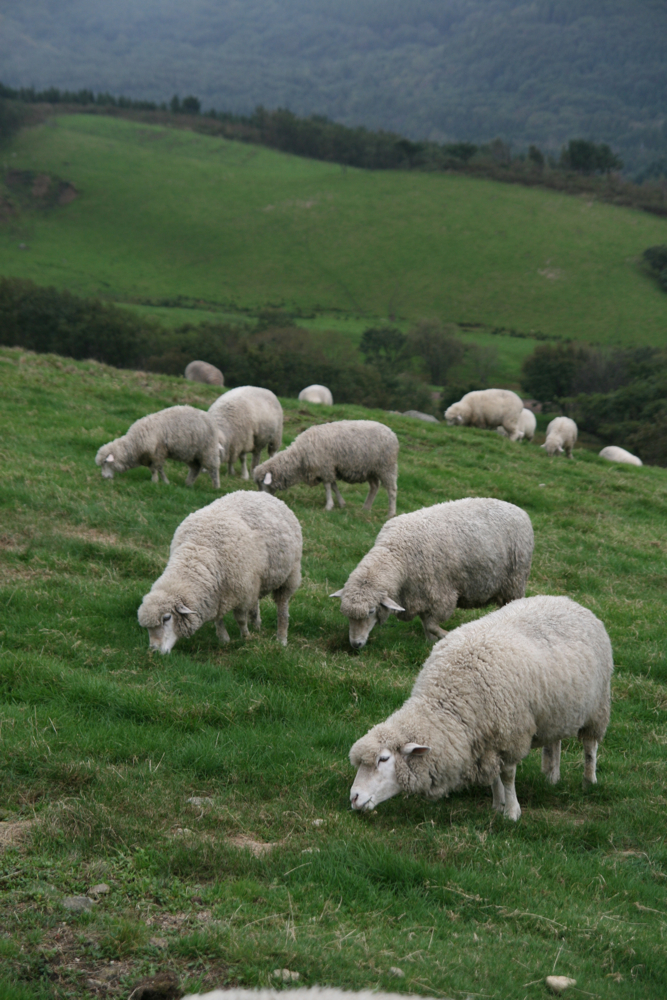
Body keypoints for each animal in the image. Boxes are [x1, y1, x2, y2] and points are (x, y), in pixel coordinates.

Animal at [95, 404, 223, 486]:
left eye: (105, 462)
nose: (104, 477)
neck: (134, 443)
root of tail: (209, 417)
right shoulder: (152, 456)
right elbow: (155, 469)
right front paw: (163, 481)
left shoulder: (158, 453)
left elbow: (156, 469)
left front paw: (158, 482)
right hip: (191, 453)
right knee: (196, 468)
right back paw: (188, 484)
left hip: (208, 449)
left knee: (214, 468)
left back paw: (216, 487)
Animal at [138, 490, 302, 648]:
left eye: (167, 618)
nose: (154, 649)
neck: (199, 550)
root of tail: (262, 493)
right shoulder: (218, 594)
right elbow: (218, 618)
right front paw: (224, 639)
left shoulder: (241, 592)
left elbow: (240, 619)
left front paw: (245, 636)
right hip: (256, 580)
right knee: (255, 603)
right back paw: (257, 626)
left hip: (289, 575)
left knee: (282, 608)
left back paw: (281, 638)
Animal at [253, 420, 400, 516]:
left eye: (262, 483)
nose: (261, 500)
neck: (299, 456)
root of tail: (392, 433)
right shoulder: (329, 469)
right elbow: (334, 486)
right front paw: (341, 503)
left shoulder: (325, 467)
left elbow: (328, 487)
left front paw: (329, 506)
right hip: (370, 469)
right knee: (374, 487)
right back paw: (366, 508)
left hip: (386, 467)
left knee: (392, 490)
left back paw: (391, 513)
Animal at [332, 498, 536, 648]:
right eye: (347, 615)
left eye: (371, 611)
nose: (355, 644)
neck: (396, 552)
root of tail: (519, 509)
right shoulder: (420, 594)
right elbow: (425, 623)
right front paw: (429, 642)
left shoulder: (440, 594)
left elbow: (432, 624)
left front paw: (445, 635)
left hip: (514, 581)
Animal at [350, 592, 616, 820]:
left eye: (384, 759)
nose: (353, 797)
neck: (450, 702)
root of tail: (568, 600)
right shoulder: (485, 740)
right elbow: (494, 777)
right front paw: (497, 805)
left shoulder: (508, 736)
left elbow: (507, 776)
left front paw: (512, 812)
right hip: (556, 709)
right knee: (554, 743)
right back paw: (552, 777)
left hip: (598, 705)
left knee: (590, 746)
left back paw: (588, 782)